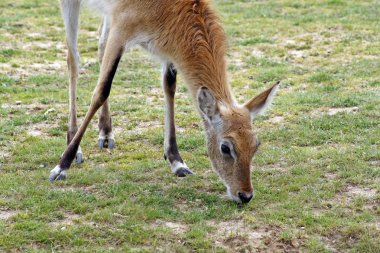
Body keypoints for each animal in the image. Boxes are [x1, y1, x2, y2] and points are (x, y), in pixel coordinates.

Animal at [49, 0, 280, 203]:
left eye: (256, 144)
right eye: (225, 147)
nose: (245, 195)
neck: (166, 7)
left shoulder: (167, 50)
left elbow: (169, 87)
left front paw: (177, 161)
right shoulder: (121, 29)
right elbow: (102, 89)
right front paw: (61, 167)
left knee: (99, 46)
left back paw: (106, 134)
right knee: (73, 59)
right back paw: (74, 147)